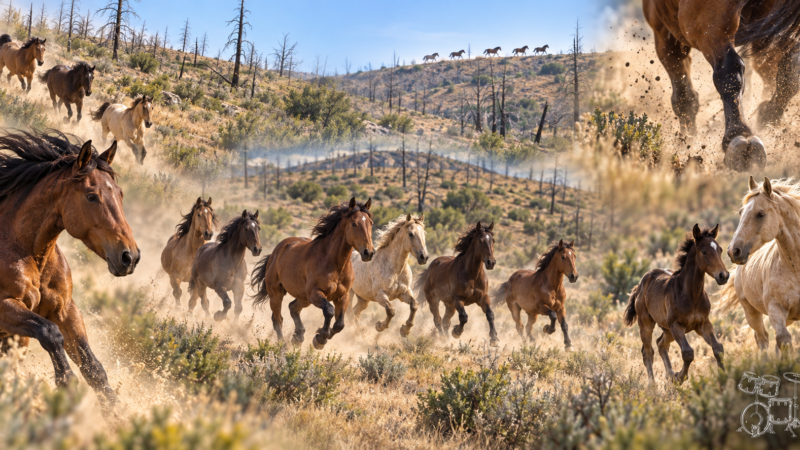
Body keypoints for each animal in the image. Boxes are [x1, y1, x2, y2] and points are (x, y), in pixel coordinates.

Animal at [0, 131, 138, 411]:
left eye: (120, 194)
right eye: (91, 196)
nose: (129, 257)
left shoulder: (66, 310)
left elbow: (94, 369)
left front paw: (116, 413)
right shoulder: (5, 307)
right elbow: (50, 334)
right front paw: (67, 390)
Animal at [251, 198, 375, 349]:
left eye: (371, 223)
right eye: (354, 223)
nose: (368, 252)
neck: (334, 263)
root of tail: (277, 250)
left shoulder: (343, 296)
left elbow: (340, 324)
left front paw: (321, 337)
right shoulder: (315, 293)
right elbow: (329, 310)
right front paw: (320, 339)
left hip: (304, 298)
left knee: (293, 307)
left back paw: (298, 337)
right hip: (277, 294)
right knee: (277, 319)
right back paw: (283, 345)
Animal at [624, 224, 729, 383]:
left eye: (720, 250)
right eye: (704, 251)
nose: (724, 275)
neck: (691, 295)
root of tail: (640, 285)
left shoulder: (703, 323)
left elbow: (718, 348)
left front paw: (724, 379)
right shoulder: (676, 325)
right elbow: (688, 352)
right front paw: (680, 377)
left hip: (667, 330)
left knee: (661, 344)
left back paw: (669, 374)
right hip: (647, 324)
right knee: (648, 351)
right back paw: (653, 384)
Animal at [643, 1, 800, 171]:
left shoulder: (664, 31)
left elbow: (684, 97)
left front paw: (688, 140)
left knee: (729, 68)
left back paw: (740, 136)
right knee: (790, 69)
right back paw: (767, 121)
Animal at [718, 177, 800, 354]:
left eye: (760, 214)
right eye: (741, 212)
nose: (733, 251)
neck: (795, 270)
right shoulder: (775, 309)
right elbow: (783, 340)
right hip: (751, 313)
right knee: (762, 339)